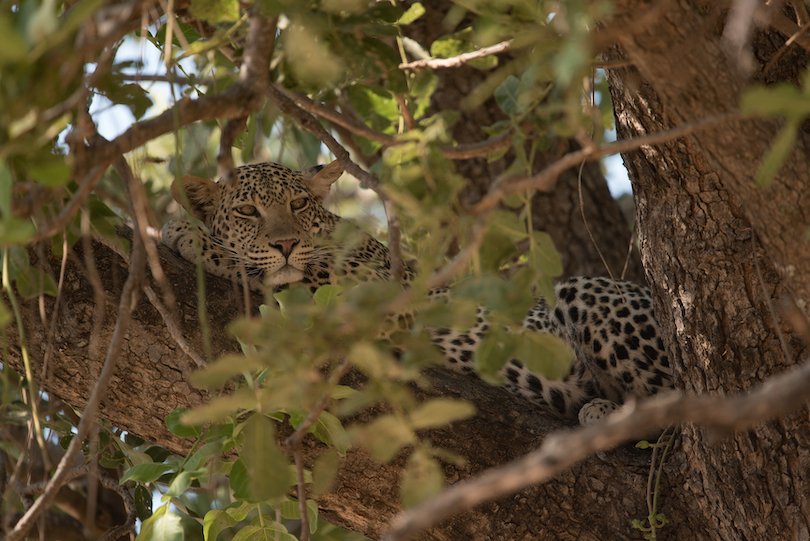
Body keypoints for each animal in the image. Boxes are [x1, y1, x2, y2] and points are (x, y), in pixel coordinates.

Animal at [161, 158, 672, 424]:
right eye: (247, 211)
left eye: (299, 203)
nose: (285, 243)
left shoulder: (375, 296)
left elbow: (286, 272)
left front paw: (188, 233)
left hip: (581, 294)